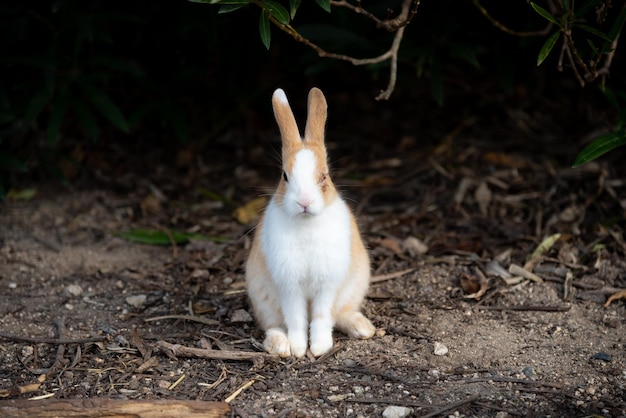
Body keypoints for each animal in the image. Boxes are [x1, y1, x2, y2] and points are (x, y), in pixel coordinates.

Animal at [244, 86, 372, 358]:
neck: (306, 223)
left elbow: (322, 316)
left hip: (354, 287)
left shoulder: (327, 284)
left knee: (341, 315)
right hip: (261, 297)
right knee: (273, 325)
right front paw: (299, 348)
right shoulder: (289, 286)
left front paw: (320, 347)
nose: (304, 201)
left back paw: (363, 328)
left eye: (324, 176)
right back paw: (280, 346)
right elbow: (295, 319)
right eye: (284, 176)